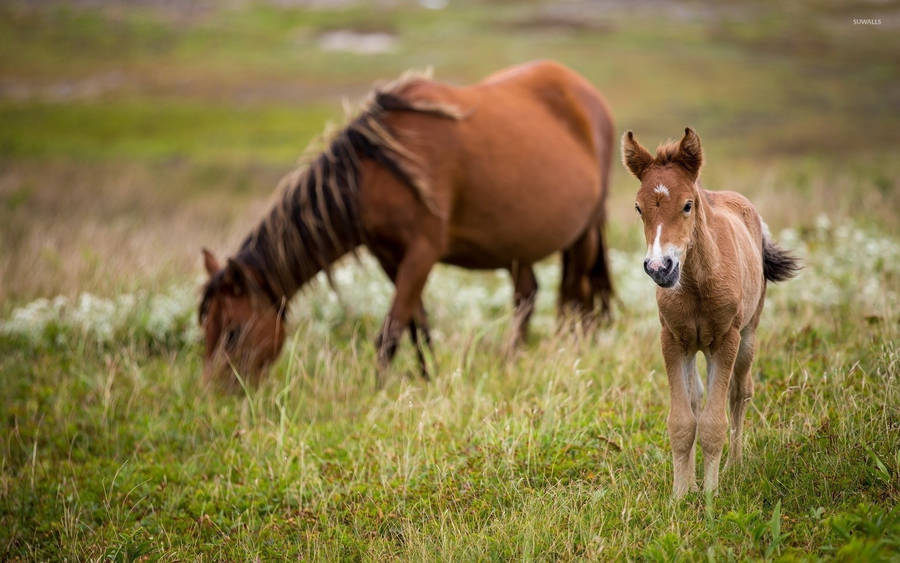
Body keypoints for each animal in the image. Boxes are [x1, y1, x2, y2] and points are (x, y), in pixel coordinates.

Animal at [200, 60, 616, 388]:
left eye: (233, 332)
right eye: (206, 330)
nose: (216, 397)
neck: (375, 174)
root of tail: (589, 95)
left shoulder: (422, 254)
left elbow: (391, 330)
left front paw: (378, 390)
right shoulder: (390, 257)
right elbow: (418, 326)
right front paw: (428, 377)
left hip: (585, 234)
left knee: (576, 299)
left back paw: (570, 353)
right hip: (516, 245)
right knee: (527, 297)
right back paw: (510, 361)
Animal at [624, 129, 800, 498]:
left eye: (688, 205)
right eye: (638, 208)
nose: (659, 268)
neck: (696, 285)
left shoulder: (725, 339)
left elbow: (713, 422)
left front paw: (710, 495)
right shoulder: (673, 339)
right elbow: (682, 420)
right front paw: (681, 494)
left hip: (747, 335)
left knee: (739, 393)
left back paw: (734, 466)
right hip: (697, 347)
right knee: (696, 399)